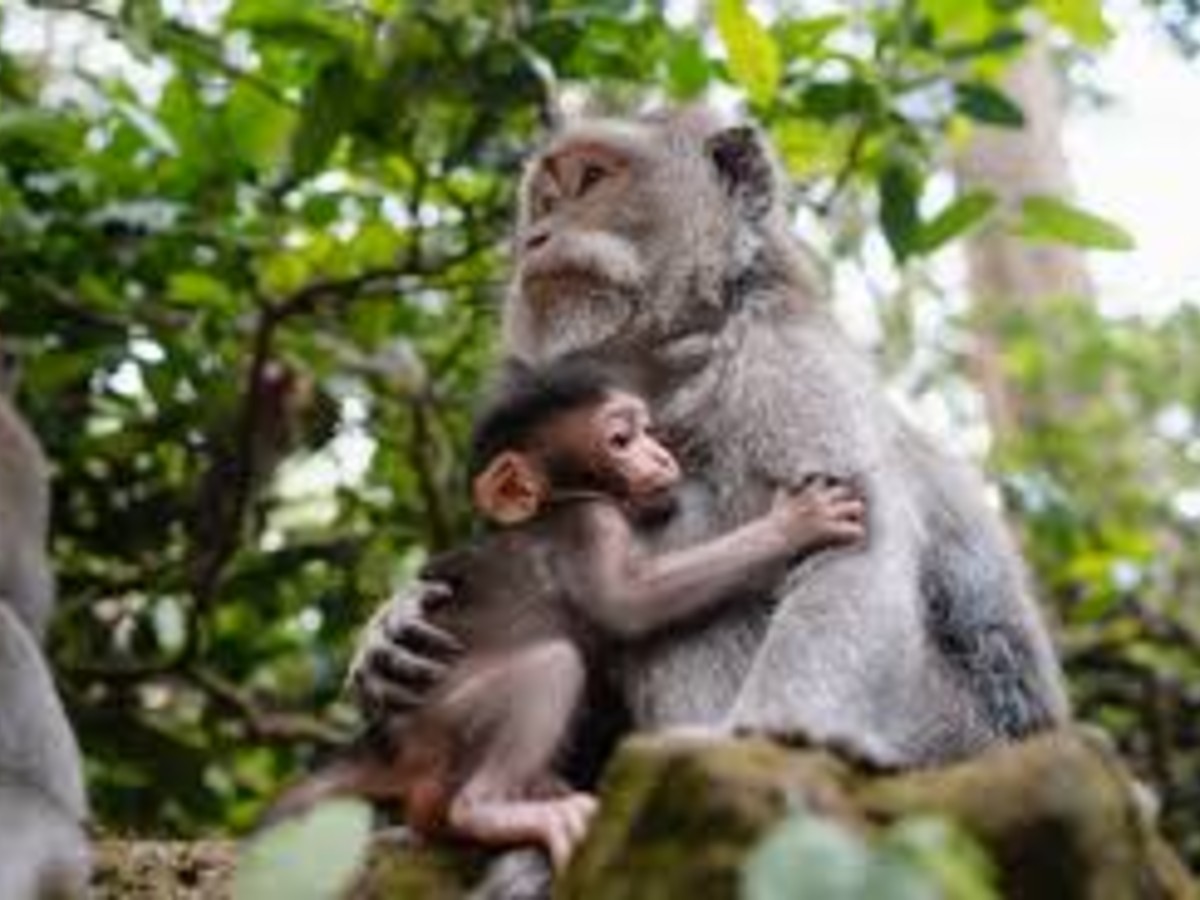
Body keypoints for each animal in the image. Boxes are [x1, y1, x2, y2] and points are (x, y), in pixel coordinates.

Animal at [275, 356, 865, 870]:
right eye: (622, 440)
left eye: (649, 432)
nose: (662, 457)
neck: (561, 499)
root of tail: (382, 743)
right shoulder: (591, 522)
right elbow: (628, 602)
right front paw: (794, 524)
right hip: (442, 723)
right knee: (551, 666)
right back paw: (494, 809)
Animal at [350, 108, 1069, 772]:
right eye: (546, 199)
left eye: (591, 179)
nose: (536, 235)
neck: (669, 359)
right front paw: (395, 622)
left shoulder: (788, 364)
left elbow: (852, 551)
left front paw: (766, 737)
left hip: (940, 735)